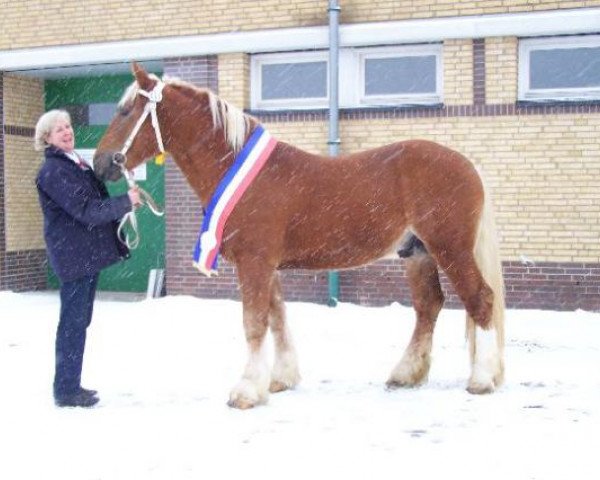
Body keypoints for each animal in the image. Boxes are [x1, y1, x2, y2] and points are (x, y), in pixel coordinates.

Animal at [95, 63, 506, 408]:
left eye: (126, 111)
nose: (100, 163)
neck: (241, 170)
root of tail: (467, 164)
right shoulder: (267, 265)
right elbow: (277, 317)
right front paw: (280, 379)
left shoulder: (254, 263)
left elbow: (255, 323)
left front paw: (246, 391)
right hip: (417, 254)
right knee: (428, 307)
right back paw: (406, 375)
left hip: (451, 249)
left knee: (480, 300)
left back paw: (482, 379)